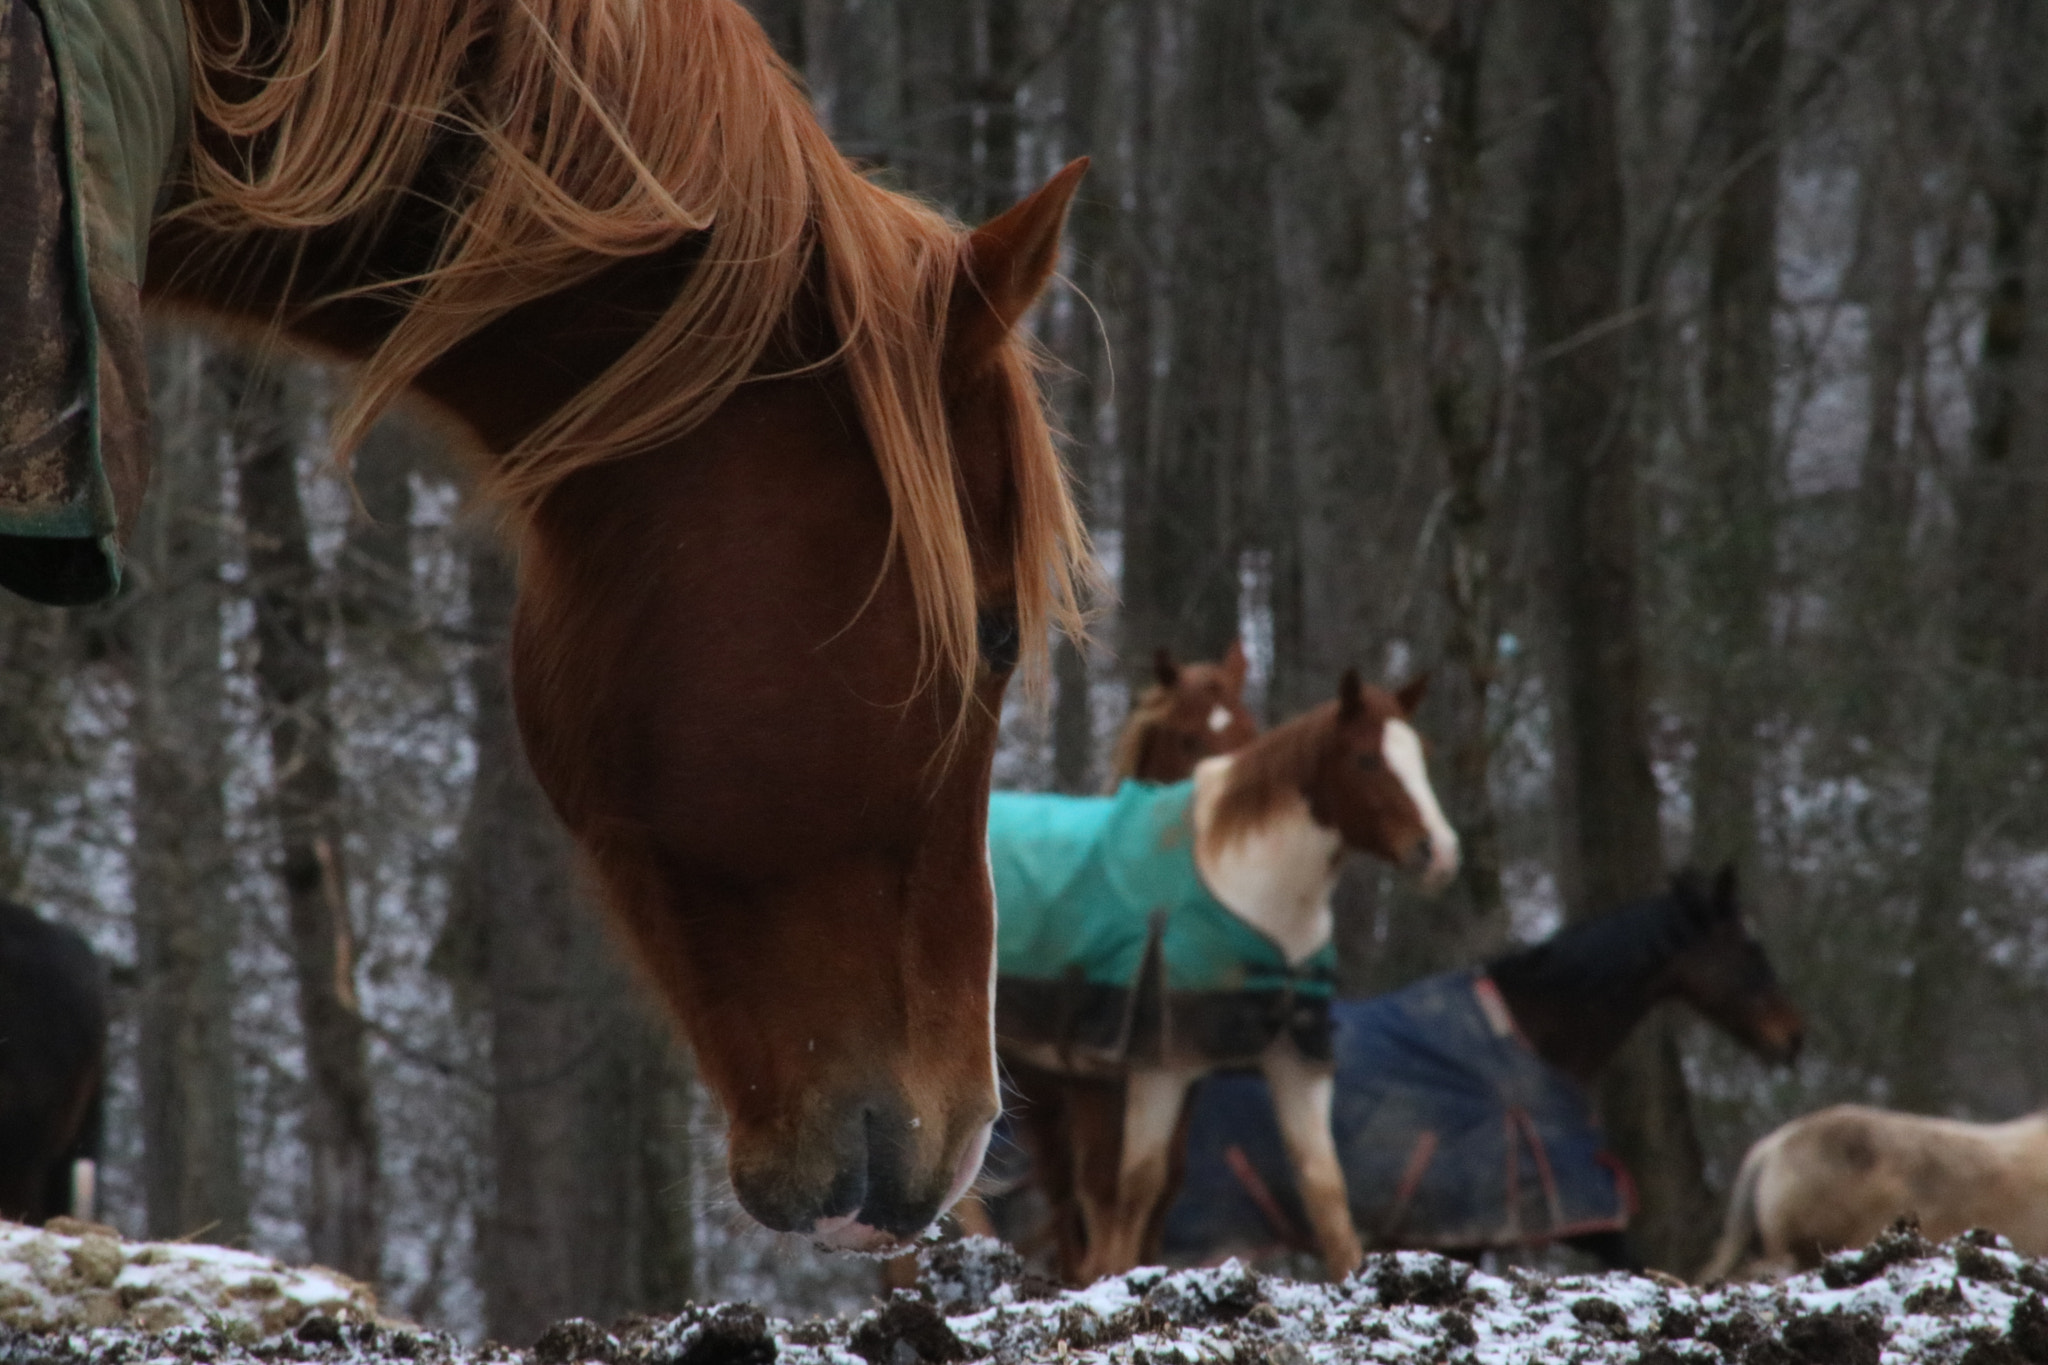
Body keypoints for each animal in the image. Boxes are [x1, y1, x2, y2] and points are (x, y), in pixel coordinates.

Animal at [991, 670, 1458, 1282]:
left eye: (1421, 755)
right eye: (1365, 759)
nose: (1439, 852)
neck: (1251, 890)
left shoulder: (1296, 1067)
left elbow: (1326, 1195)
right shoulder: (1161, 1071)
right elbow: (1137, 1191)